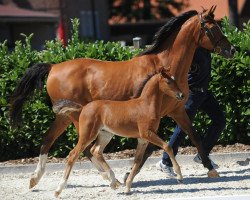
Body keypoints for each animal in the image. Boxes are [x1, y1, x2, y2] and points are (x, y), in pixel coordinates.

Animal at [52, 69, 185, 195]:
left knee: (96, 151)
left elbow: (137, 161)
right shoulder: (147, 133)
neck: (146, 105)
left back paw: (113, 182)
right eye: (168, 82)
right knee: (73, 154)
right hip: (88, 134)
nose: (181, 95)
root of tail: (83, 107)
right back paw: (58, 190)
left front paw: (127, 187)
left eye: (175, 80)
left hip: (105, 134)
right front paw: (179, 176)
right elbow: (167, 146)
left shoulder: (142, 139)